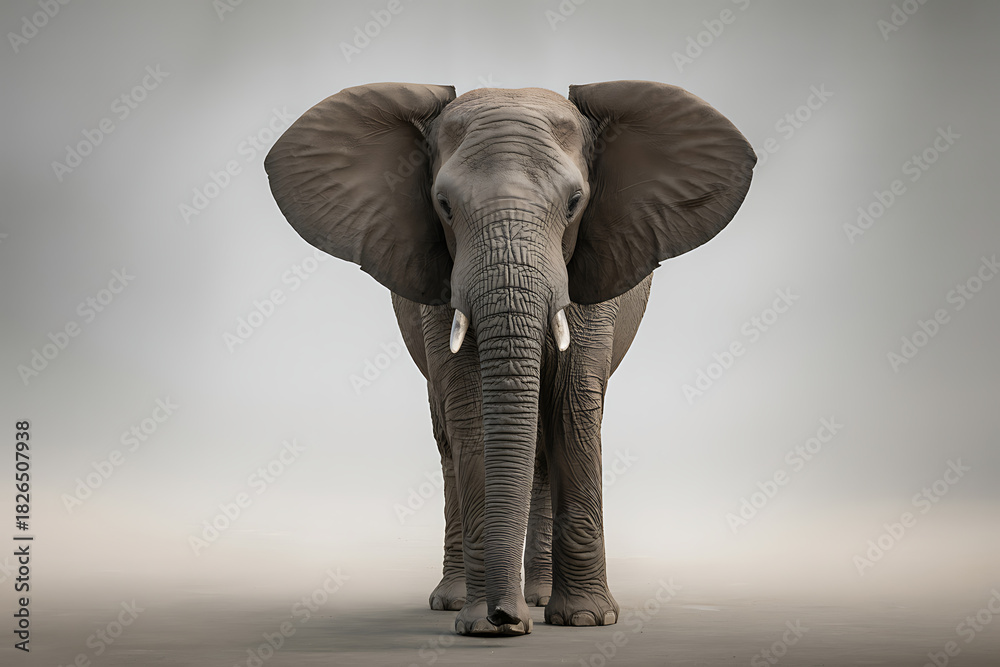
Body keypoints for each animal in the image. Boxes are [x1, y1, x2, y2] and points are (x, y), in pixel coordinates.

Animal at [264, 81, 755, 636]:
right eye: (443, 205)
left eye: (575, 203)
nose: (504, 616)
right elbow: (471, 411)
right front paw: (483, 624)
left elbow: (572, 404)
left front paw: (586, 620)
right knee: (449, 440)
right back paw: (456, 600)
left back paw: (540, 600)